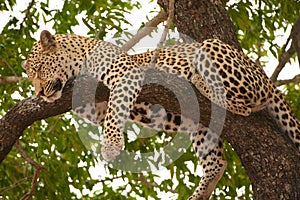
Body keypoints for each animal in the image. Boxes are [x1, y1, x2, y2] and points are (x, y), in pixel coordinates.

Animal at [21, 30, 300, 200]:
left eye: (39, 69)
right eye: (30, 75)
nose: (39, 94)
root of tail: (265, 77)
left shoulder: (125, 74)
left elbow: (115, 110)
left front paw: (111, 145)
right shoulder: (95, 107)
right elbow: (105, 111)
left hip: (214, 51)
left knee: (243, 104)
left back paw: (199, 81)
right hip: (202, 125)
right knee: (217, 163)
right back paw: (199, 194)